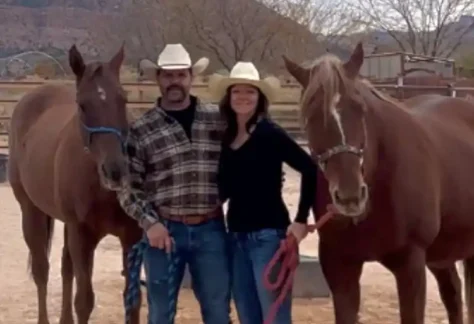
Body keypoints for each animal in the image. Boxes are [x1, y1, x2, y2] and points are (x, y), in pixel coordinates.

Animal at [8, 44, 143, 322]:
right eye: (82, 105)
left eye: (123, 99)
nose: (115, 170)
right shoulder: (82, 235)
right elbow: (84, 301)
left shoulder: (131, 237)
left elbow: (132, 301)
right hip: (32, 212)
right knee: (42, 270)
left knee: (64, 267)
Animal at [284, 43, 474, 324]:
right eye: (310, 115)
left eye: (360, 108)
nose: (350, 196)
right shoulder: (340, 267)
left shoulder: (411, 265)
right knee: (452, 293)